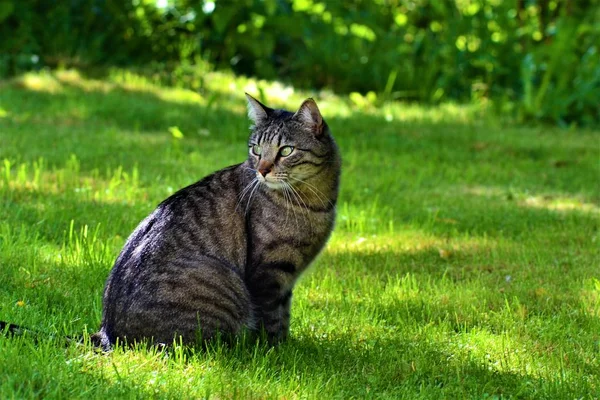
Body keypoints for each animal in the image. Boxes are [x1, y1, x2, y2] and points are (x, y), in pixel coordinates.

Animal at [90, 94, 342, 350]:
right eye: (257, 150)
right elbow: (271, 321)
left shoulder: (285, 280)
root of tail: (107, 334)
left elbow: (284, 316)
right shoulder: (269, 274)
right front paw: (276, 350)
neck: (315, 203)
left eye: (286, 150)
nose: (262, 170)